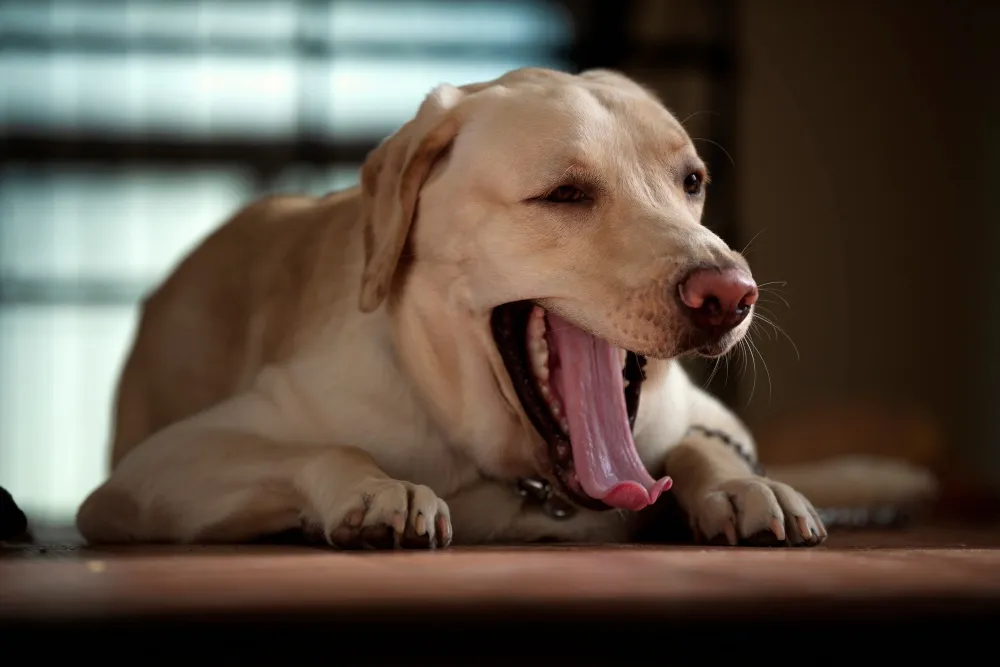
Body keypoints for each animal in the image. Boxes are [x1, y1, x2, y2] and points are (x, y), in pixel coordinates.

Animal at [74, 68, 924, 552]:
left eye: (692, 181)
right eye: (565, 193)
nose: (730, 294)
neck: (527, 480)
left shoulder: (697, 418)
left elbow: (697, 446)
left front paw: (741, 486)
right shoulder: (154, 469)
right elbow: (329, 448)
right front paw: (378, 490)